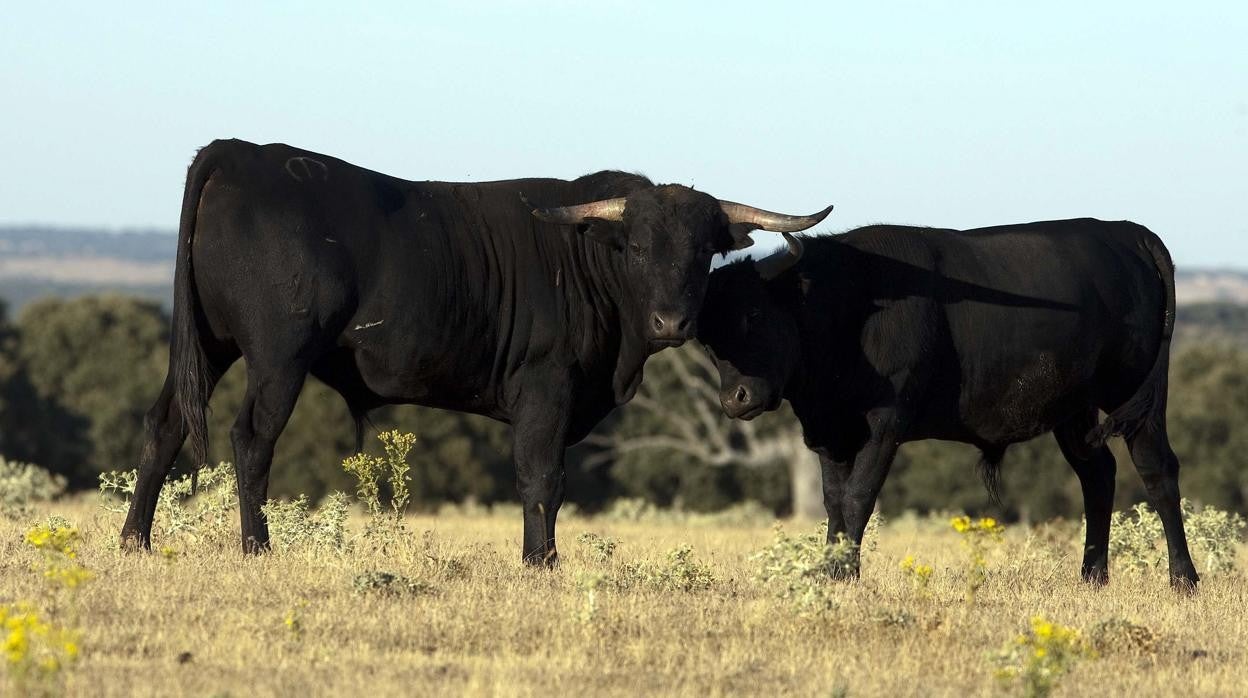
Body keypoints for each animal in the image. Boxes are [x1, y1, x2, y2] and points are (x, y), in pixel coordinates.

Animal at [121, 137, 833, 561]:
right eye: (636, 248)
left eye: (703, 253)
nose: (670, 321)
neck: (586, 260)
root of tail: (241, 152)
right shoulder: (546, 391)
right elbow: (542, 477)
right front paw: (541, 561)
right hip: (277, 358)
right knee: (251, 439)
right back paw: (256, 547)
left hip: (208, 347)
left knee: (164, 427)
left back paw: (135, 541)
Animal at [703, 219, 1198, 589]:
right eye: (708, 338)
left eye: (754, 314)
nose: (734, 399)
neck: (851, 304)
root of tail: (1127, 232)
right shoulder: (831, 431)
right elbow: (833, 502)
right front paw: (831, 572)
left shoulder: (885, 424)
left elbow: (859, 497)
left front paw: (846, 576)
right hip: (1074, 409)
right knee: (1097, 476)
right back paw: (1092, 576)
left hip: (1133, 394)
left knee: (1157, 471)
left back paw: (1183, 578)